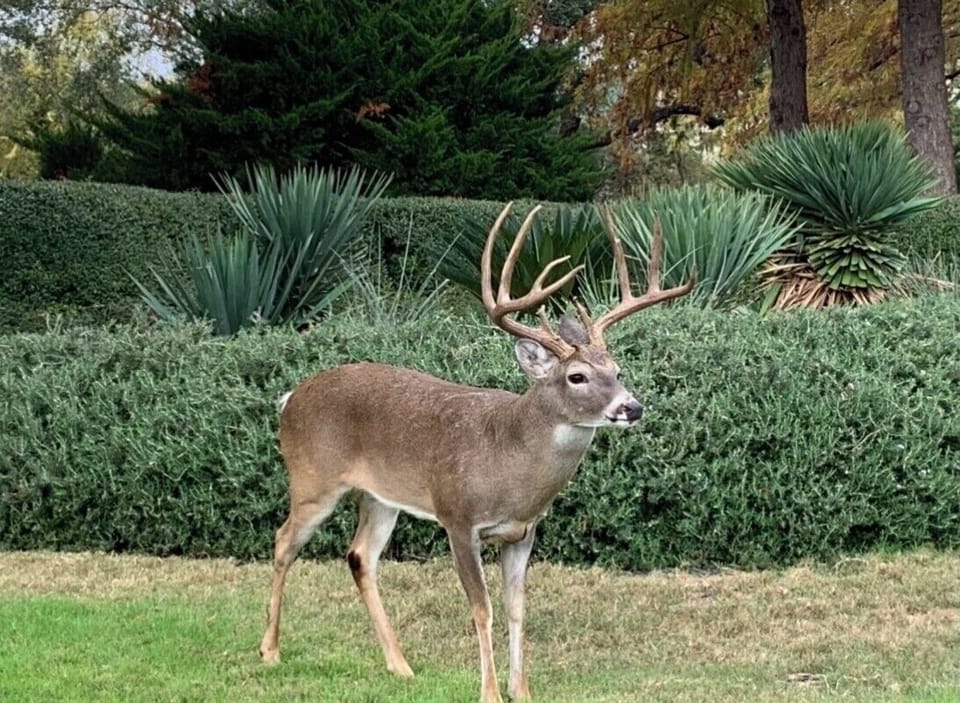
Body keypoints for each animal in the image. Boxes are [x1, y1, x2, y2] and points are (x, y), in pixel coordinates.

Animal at [258, 201, 694, 703]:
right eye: (577, 376)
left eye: (617, 370)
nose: (632, 407)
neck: (511, 465)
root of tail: (290, 397)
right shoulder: (459, 518)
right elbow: (481, 607)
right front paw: (489, 691)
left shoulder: (523, 531)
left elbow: (516, 608)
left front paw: (521, 690)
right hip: (313, 478)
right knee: (283, 541)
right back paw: (270, 650)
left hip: (381, 497)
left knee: (360, 556)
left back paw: (399, 665)